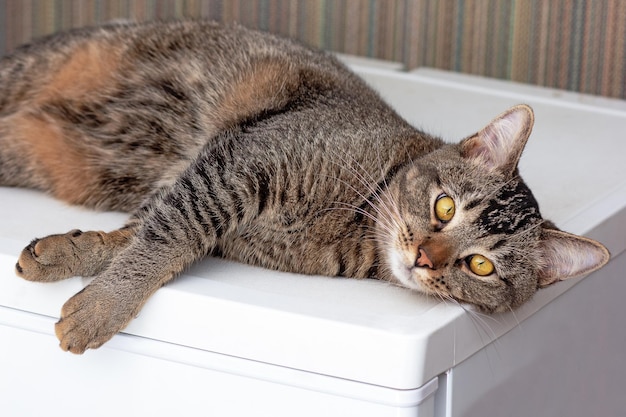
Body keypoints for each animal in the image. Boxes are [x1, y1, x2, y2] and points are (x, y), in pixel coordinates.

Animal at [0, 18, 608, 352]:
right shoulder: (237, 164)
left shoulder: (214, 195)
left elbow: (145, 235)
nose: (424, 257)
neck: (357, 220)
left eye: (480, 265)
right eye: (444, 207)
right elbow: (164, 234)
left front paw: (78, 267)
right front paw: (102, 300)